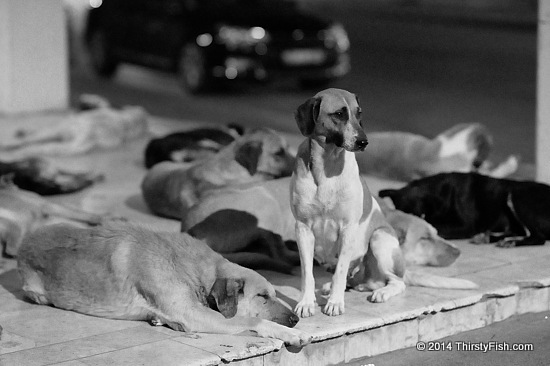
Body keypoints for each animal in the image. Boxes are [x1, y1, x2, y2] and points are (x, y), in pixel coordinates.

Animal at [17, 223, 312, 346]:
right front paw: (292, 334)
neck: (193, 270)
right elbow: (255, 321)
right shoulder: (194, 314)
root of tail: (24, 242)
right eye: (262, 296)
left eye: (273, 294)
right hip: (35, 291)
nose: (295, 320)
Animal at [382, 172, 550, 247]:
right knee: (518, 231)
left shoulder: (465, 226)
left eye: (421, 215)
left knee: (539, 237)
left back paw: (510, 242)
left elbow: (437, 227)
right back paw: (488, 237)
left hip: (518, 196)